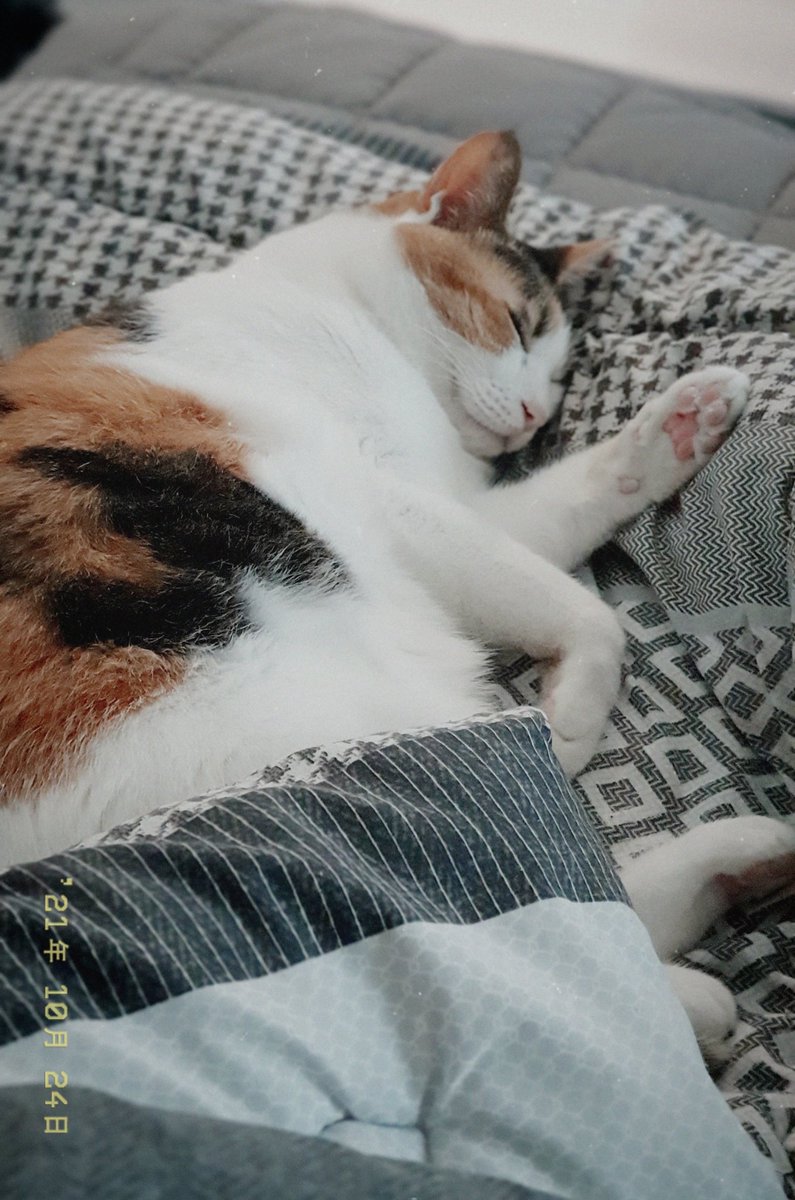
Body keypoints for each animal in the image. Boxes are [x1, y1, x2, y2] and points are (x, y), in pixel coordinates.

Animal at [1, 128, 793, 1056]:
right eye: (516, 323)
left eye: (562, 378)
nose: (534, 416)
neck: (331, 310)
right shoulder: (392, 498)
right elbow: (593, 616)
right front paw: (570, 720)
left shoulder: (457, 503)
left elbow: (581, 497)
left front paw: (686, 421)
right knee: (549, 924)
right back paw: (695, 991)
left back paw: (752, 857)